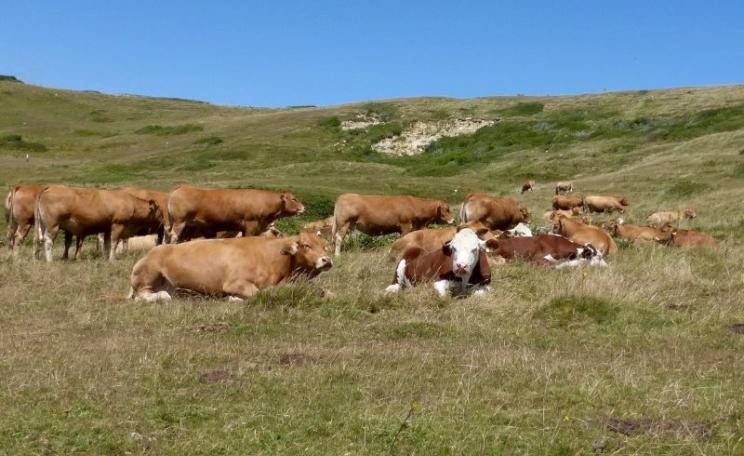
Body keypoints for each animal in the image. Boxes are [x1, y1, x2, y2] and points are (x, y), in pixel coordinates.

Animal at [128, 231, 332, 302]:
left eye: (325, 245)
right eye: (306, 245)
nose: (326, 260)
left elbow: (325, 291)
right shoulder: (235, 283)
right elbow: (258, 293)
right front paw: (233, 298)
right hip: (149, 273)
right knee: (142, 296)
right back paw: (162, 295)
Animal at [166, 186, 304, 244]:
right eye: (294, 199)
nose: (303, 207)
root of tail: (180, 188)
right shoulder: (251, 225)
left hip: (188, 225)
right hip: (180, 222)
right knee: (173, 236)